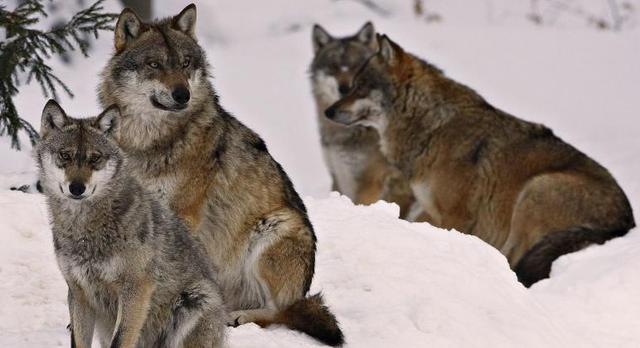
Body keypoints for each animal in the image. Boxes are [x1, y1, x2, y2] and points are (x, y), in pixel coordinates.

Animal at [37, 99, 228, 346]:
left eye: (95, 158)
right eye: (65, 155)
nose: (77, 188)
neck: (85, 228)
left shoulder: (136, 290)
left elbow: (120, 340)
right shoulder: (78, 293)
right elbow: (78, 341)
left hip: (195, 299)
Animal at [97, 4, 342, 346]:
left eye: (185, 63)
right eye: (154, 64)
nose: (182, 94)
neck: (149, 142)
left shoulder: (183, 214)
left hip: (275, 228)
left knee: (282, 312)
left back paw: (238, 317)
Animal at [324, 34, 636, 286]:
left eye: (361, 87)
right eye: (351, 85)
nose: (328, 111)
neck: (433, 125)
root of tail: (626, 222)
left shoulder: (457, 215)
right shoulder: (430, 209)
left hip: (535, 190)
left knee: (513, 259)